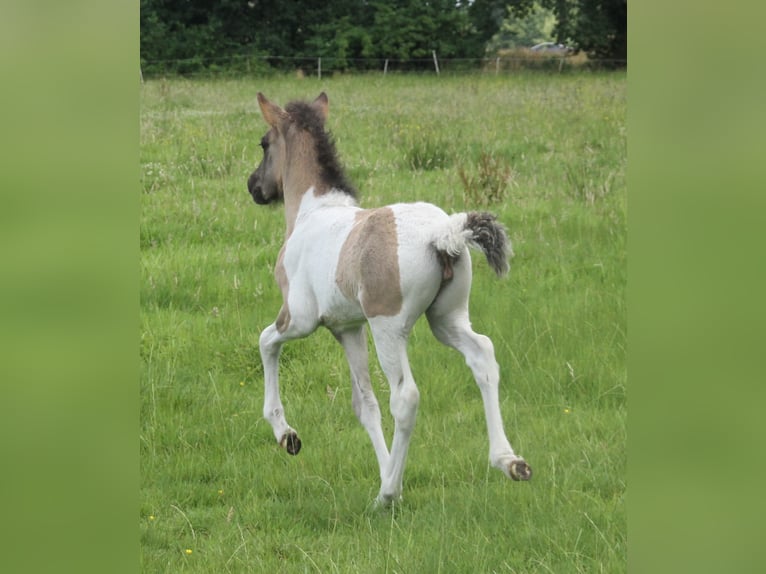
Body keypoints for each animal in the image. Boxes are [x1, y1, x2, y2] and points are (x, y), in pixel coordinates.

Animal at [246, 92, 531, 505]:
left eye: (264, 144)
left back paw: (388, 495)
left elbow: (266, 342)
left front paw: (287, 436)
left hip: (388, 329)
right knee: (483, 357)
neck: (313, 212)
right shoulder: (348, 328)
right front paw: (383, 469)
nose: (253, 186)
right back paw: (509, 461)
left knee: (406, 396)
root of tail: (443, 233)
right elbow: (365, 404)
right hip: (446, 319)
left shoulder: (300, 319)